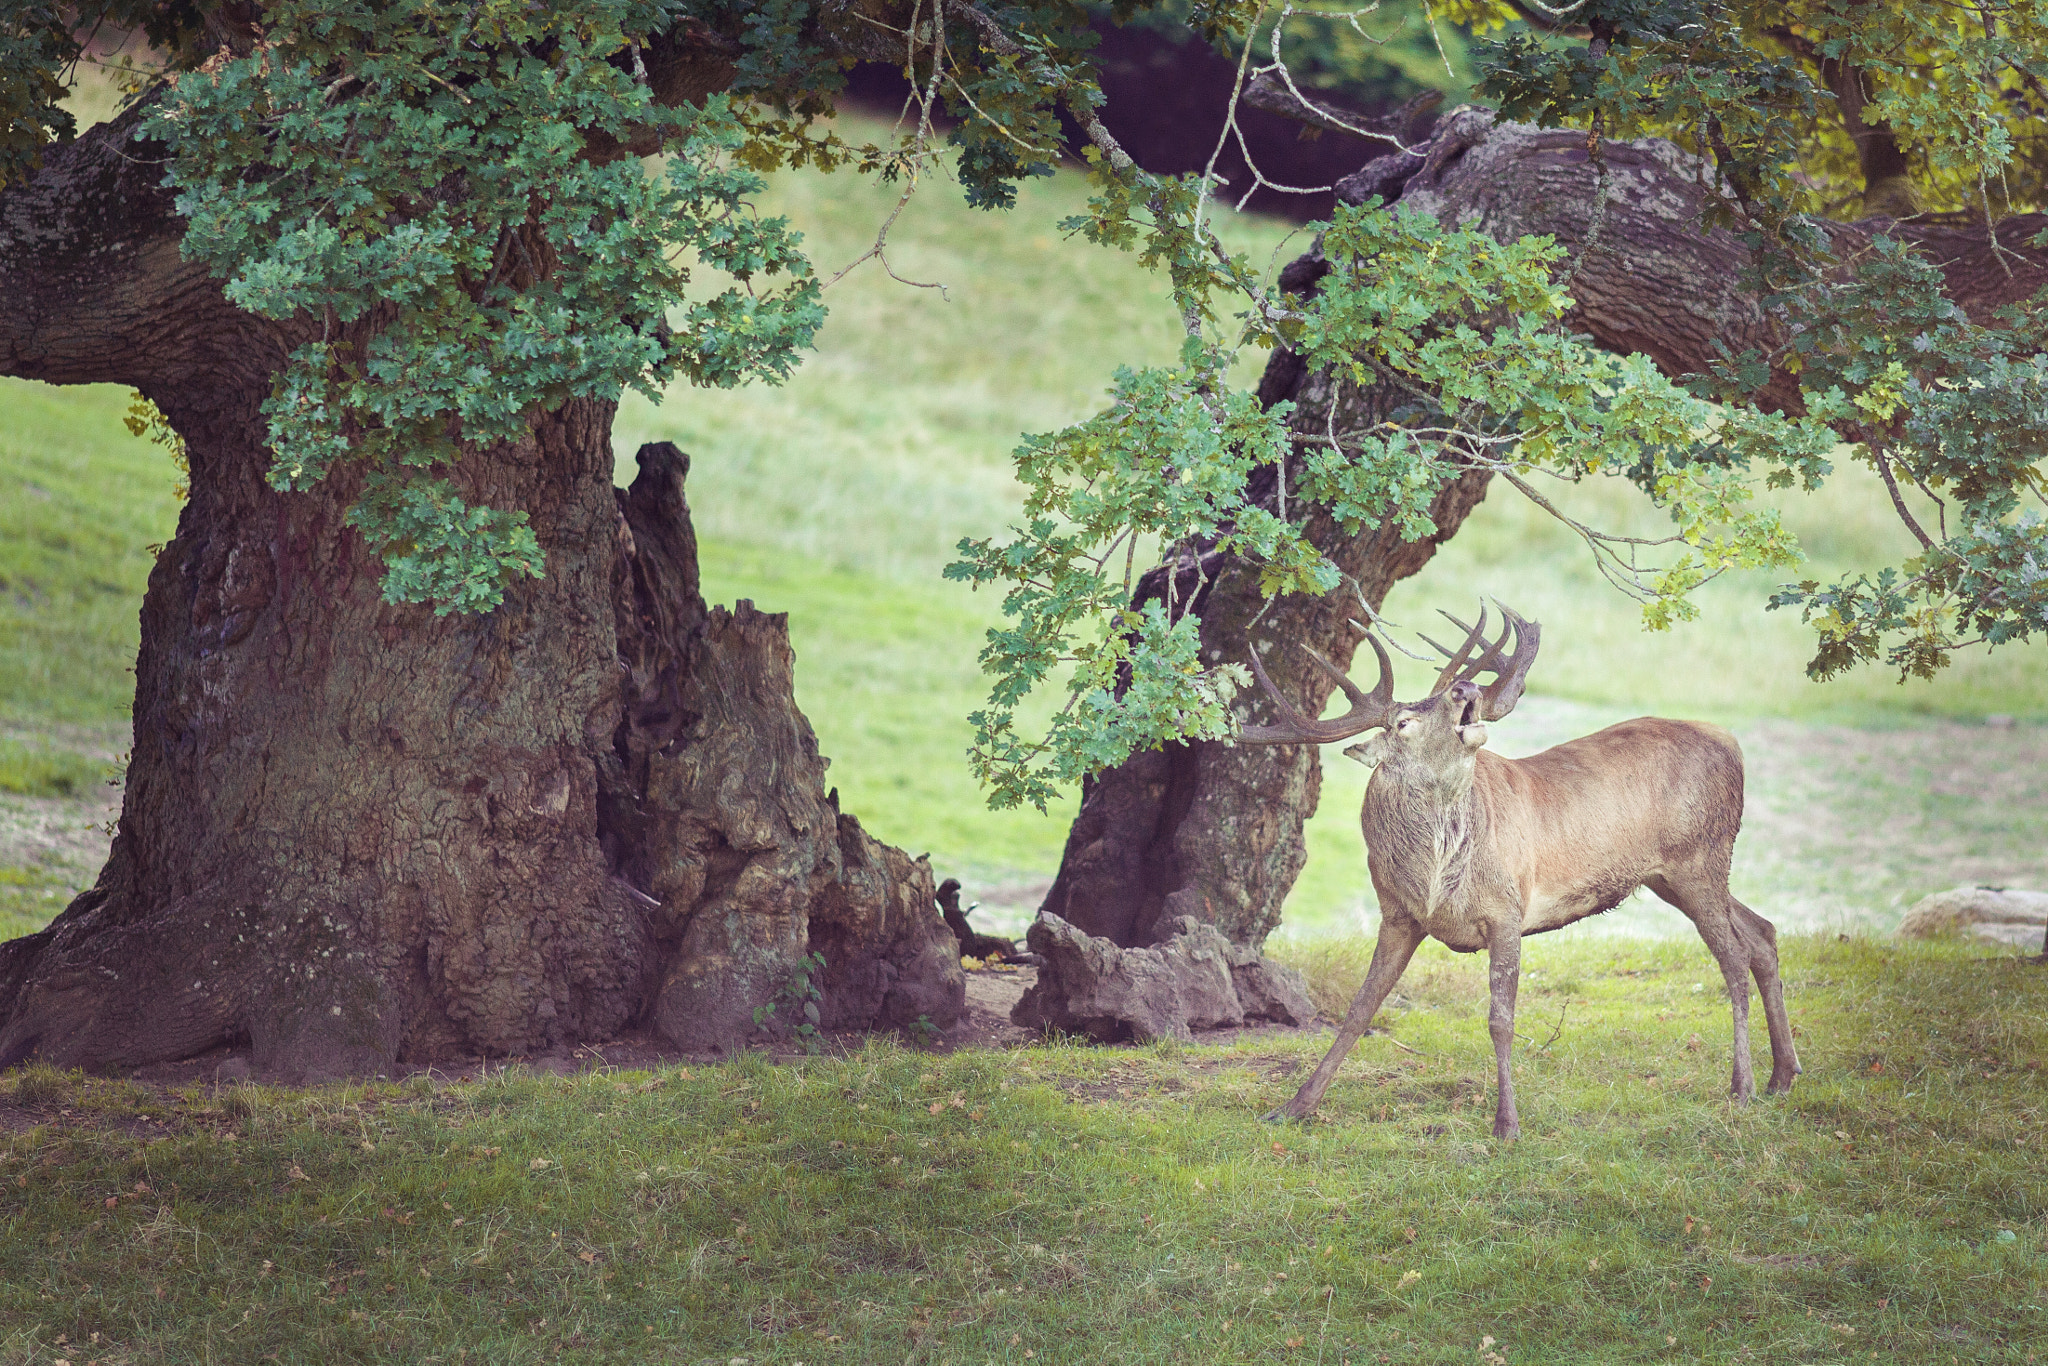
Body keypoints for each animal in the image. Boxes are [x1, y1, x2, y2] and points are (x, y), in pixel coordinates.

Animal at [1236, 604, 1800, 1138]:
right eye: (1402, 723)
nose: (1464, 687)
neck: (1435, 879)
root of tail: (1732, 743)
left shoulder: (1506, 908)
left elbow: (1500, 1020)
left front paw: (1507, 1124)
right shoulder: (1397, 914)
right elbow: (1360, 1009)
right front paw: (1293, 1107)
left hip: (1699, 857)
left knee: (1733, 957)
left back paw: (1743, 1086)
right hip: (1673, 875)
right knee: (1762, 933)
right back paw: (1783, 1075)